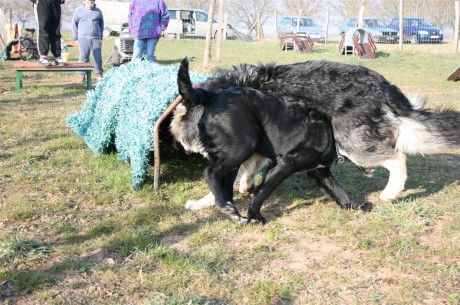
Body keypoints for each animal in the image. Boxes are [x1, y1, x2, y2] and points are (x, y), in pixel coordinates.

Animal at [174, 57, 372, 223]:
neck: (330, 134)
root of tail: (211, 96)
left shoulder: (319, 171)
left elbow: (339, 191)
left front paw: (356, 205)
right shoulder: (285, 164)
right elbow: (262, 192)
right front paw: (255, 215)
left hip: (233, 157)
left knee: (223, 184)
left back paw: (233, 212)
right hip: (242, 148)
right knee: (210, 173)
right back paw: (229, 209)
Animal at [199, 60, 460, 201]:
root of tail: (385, 86)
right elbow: (250, 166)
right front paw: (245, 185)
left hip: (351, 141)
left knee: (398, 158)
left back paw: (389, 193)